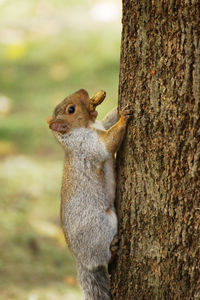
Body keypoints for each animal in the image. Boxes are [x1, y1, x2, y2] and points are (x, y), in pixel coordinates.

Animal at [46, 89, 132, 300]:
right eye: (71, 109)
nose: (84, 91)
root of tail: (81, 260)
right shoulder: (88, 145)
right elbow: (108, 143)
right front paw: (124, 118)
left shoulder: (101, 126)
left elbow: (109, 120)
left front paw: (118, 109)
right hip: (101, 228)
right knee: (103, 258)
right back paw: (112, 249)